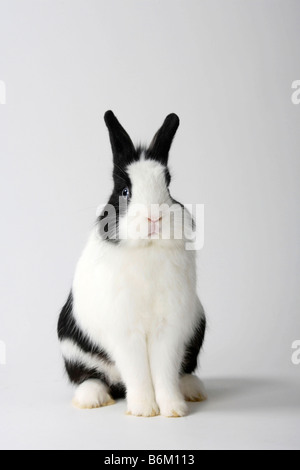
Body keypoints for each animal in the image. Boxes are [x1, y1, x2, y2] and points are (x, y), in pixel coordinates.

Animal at [56, 112, 206, 416]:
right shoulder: (126, 332)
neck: (146, 248)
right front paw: (143, 410)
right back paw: (92, 399)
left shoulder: (170, 330)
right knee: (92, 376)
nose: (154, 217)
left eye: (168, 186)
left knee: (183, 370)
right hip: (72, 348)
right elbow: (138, 373)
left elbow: (164, 372)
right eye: (125, 191)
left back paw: (192, 390)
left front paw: (173, 409)